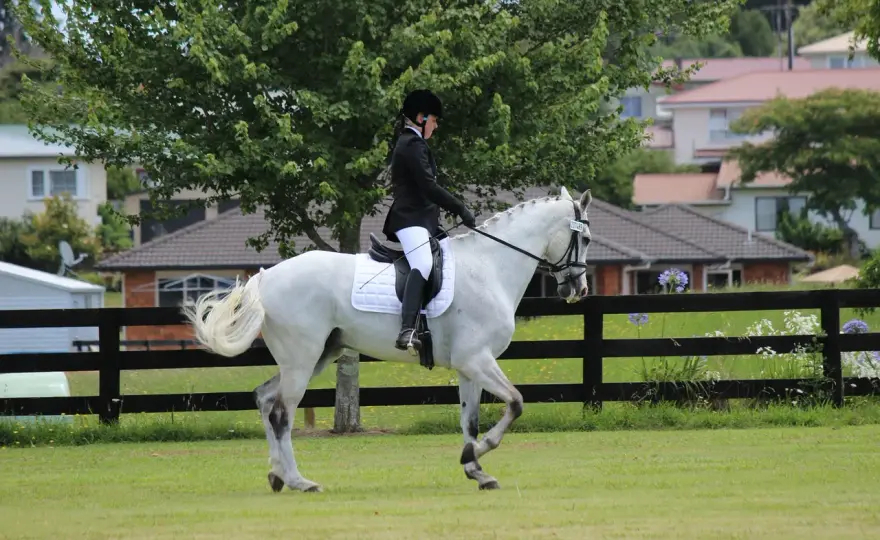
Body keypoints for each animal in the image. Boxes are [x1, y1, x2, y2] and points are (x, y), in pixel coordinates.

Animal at [181, 186, 594, 492]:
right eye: (586, 238)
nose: (580, 290)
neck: (489, 266)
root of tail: (267, 277)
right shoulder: (477, 360)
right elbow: (516, 403)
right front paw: (477, 456)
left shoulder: (469, 366)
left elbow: (470, 420)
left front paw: (475, 469)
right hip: (302, 358)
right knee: (281, 413)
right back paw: (301, 481)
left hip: (317, 355)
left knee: (265, 399)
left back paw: (277, 475)